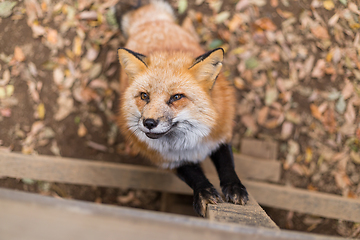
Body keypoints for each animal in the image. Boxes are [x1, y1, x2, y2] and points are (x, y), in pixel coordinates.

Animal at [117, 0, 248, 218]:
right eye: (144, 96)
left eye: (176, 97)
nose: (149, 122)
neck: (188, 144)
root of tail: (151, 22)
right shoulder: (169, 161)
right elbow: (194, 176)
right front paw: (203, 193)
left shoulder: (220, 134)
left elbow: (227, 164)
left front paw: (234, 187)